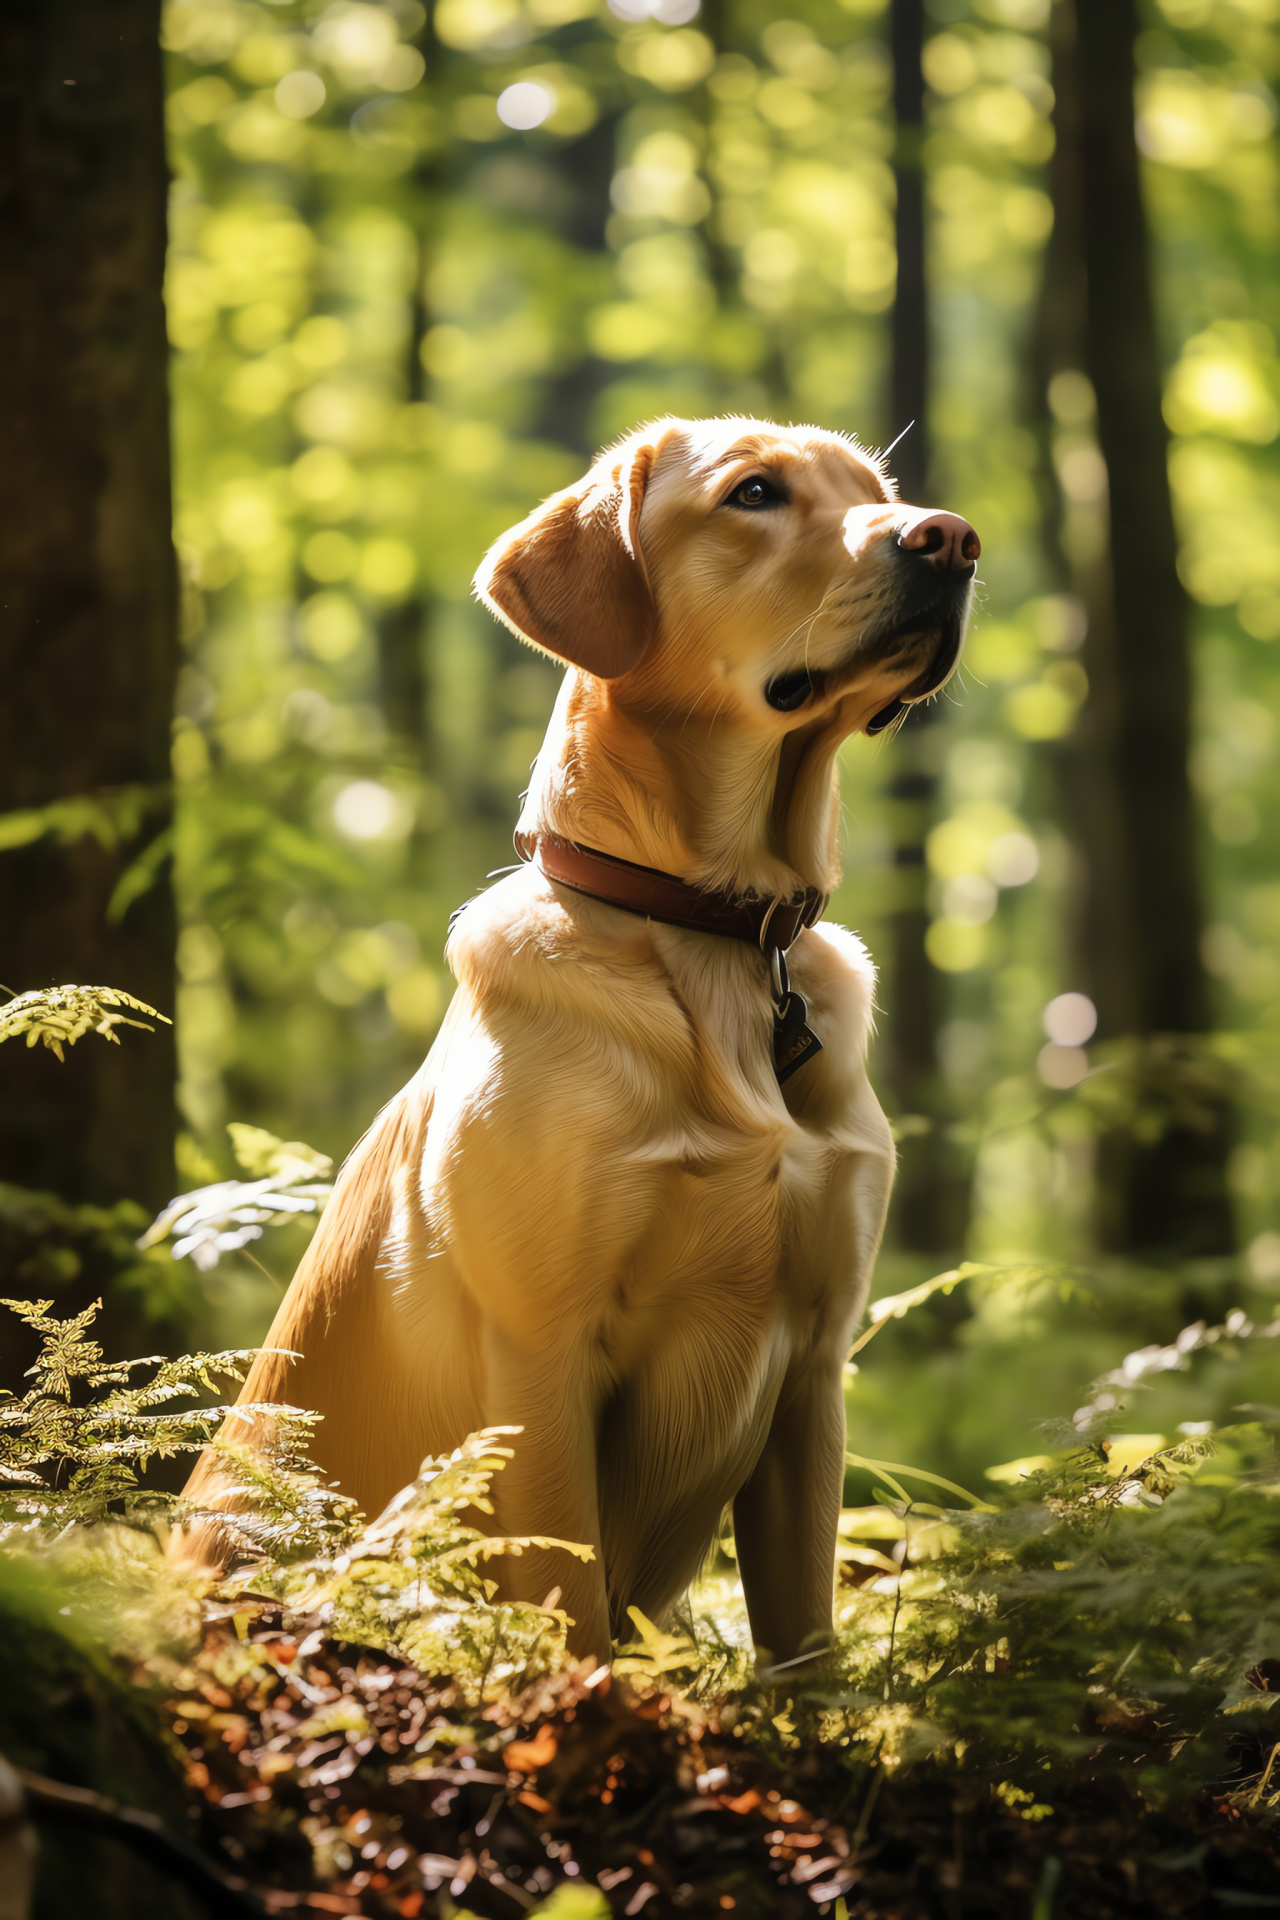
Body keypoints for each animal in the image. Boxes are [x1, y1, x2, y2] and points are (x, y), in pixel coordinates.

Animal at [180, 420, 982, 1666]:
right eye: (754, 493)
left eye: (874, 490)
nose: (950, 538)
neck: (715, 932)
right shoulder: (540, 1362)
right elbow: (567, 1603)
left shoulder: (814, 1372)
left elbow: (801, 1634)